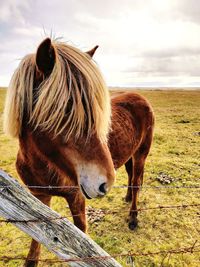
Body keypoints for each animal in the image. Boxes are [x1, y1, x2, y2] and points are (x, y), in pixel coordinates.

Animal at [3, 38, 154, 267]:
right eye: (66, 109)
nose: (105, 183)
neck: (44, 165)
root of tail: (139, 96)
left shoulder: (76, 198)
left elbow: (81, 236)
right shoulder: (38, 196)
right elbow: (36, 235)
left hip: (141, 154)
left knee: (136, 181)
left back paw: (134, 218)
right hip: (130, 154)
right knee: (131, 177)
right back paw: (127, 198)